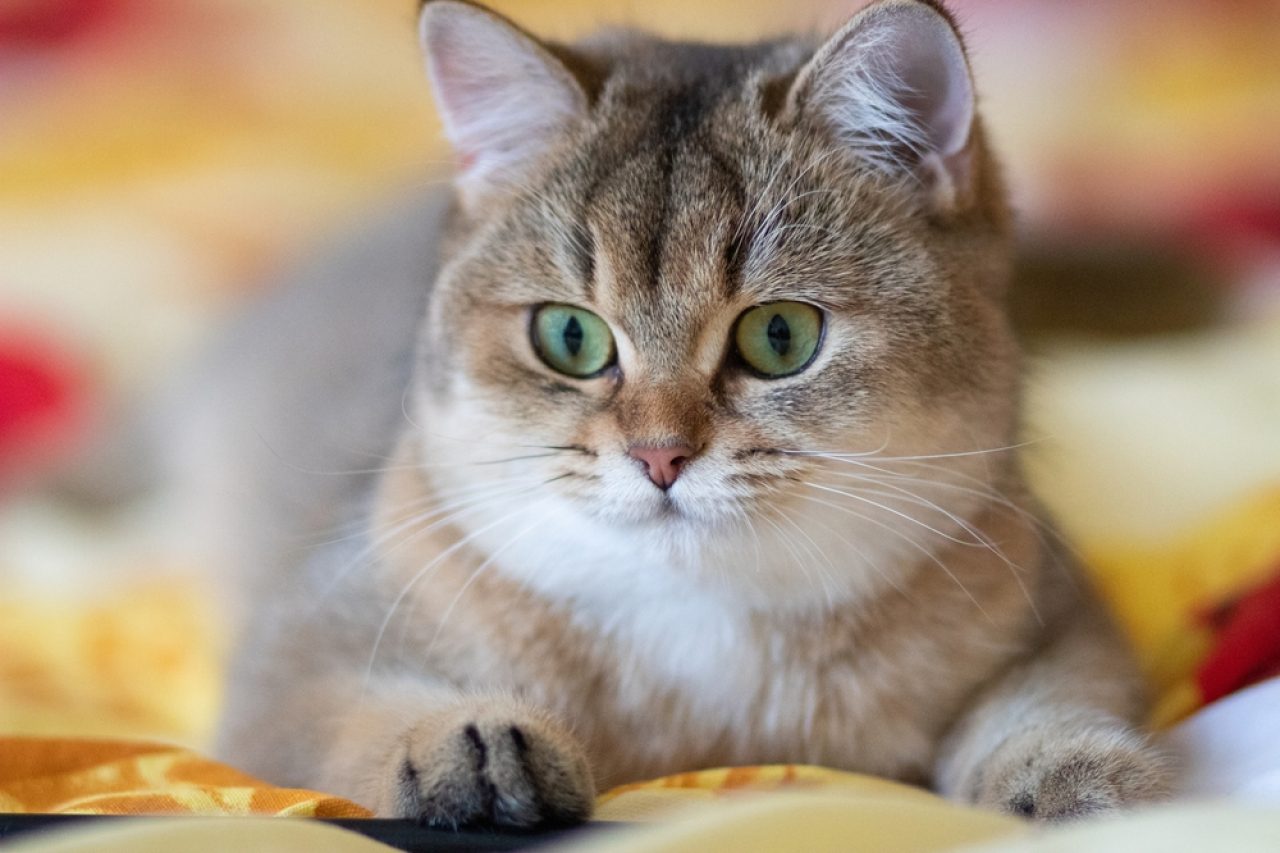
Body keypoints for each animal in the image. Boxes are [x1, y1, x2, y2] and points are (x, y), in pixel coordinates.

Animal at [197, 0, 1172, 824]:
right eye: (569, 336)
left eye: (781, 335)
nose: (659, 455)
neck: (701, 626)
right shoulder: (297, 648)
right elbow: (353, 715)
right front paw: (464, 747)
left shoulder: (1064, 609)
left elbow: (1048, 698)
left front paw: (1072, 768)